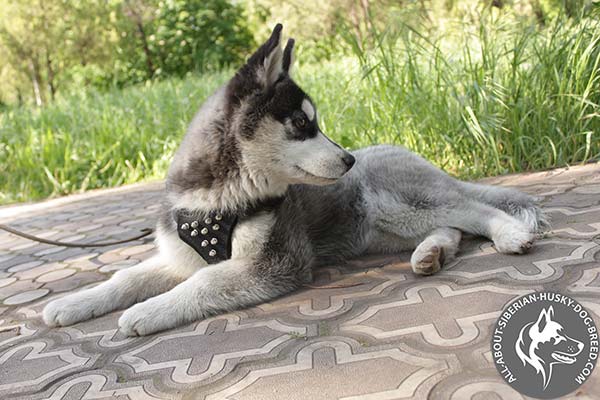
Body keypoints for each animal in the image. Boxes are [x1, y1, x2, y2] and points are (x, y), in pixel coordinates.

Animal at [42, 25, 548, 336]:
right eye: (303, 124)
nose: (347, 159)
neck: (220, 199)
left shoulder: (275, 263)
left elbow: (204, 283)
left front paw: (146, 311)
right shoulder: (179, 255)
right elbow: (126, 275)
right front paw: (76, 302)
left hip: (398, 199)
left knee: (475, 211)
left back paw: (509, 234)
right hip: (384, 227)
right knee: (453, 227)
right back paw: (431, 253)